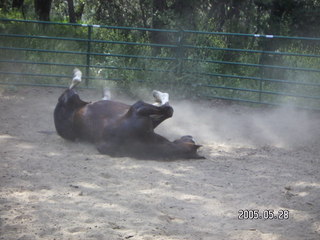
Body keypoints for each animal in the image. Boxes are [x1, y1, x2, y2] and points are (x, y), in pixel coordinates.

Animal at [52, 69, 202, 159]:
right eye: (189, 139)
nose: (190, 135)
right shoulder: (138, 108)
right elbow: (168, 110)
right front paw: (159, 95)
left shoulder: (146, 117)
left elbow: (167, 111)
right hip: (71, 98)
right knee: (72, 87)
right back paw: (78, 74)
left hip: (78, 101)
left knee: (88, 95)